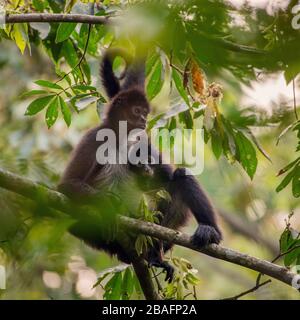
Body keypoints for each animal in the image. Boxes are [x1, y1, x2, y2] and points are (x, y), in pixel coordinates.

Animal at [58, 49, 221, 282]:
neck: (119, 138)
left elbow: (166, 177)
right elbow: (65, 185)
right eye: (137, 111)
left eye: (145, 112)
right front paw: (107, 201)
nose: (144, 120)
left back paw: (201, 236)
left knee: (181, 176)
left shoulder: (141, 140)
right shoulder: (94, 137)